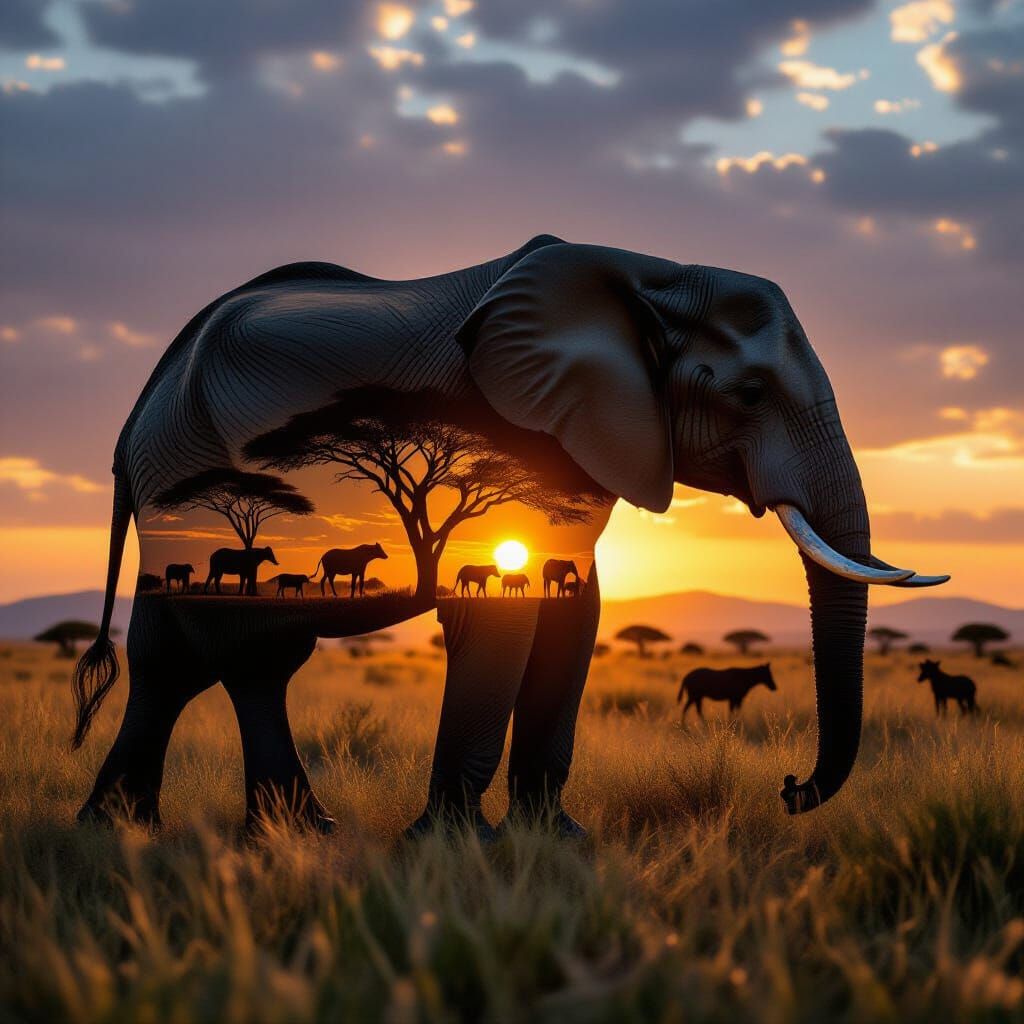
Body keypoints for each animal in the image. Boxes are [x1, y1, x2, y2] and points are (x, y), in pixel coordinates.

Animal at [71, 235, 949, 838]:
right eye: (751, 392)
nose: (788, 786)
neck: (644, 274)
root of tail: (138, 404)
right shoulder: (499, 428)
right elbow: (501, 624)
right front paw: (455, 847)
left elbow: (579, 615)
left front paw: (556, 840)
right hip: (184, 468)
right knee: (231, 657)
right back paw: (252, 834)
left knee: (194, 660)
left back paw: (158, 832)